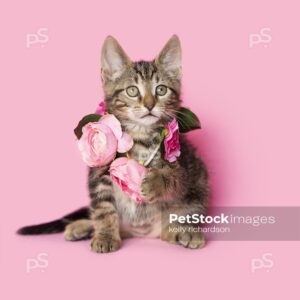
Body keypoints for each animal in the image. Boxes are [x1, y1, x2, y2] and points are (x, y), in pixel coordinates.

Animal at [17, 36, 209, 254]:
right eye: (132, 91)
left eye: (161, 89)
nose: (150, 105)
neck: (140, 135)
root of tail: (141, 232)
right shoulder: (100, 174)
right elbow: (103, 210)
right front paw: (106, 236)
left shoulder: (182, 160)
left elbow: (174, 177)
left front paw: (155, 182)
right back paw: (82, 227)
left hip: (199, 182)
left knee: (181, 216)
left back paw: (185, 232)